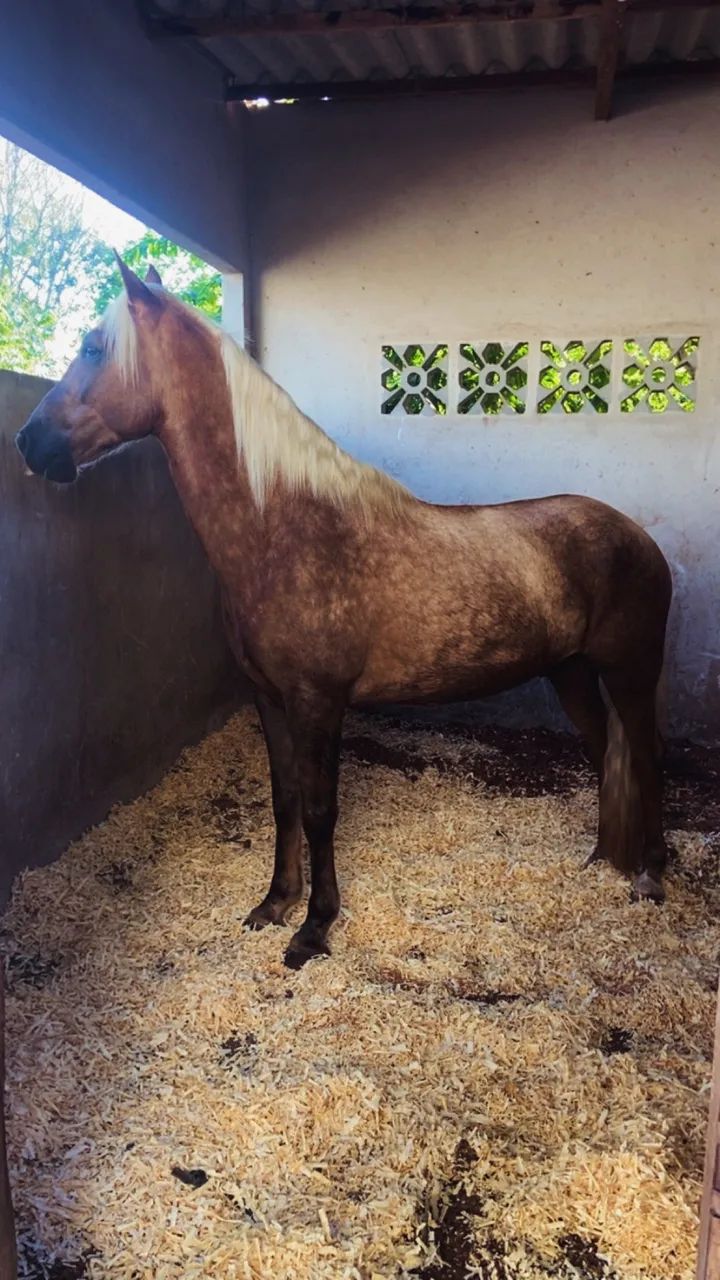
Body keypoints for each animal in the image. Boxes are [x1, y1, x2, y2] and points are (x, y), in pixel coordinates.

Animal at [15, 260, 673, 970]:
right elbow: (284, 801)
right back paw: (603, 860)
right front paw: (275, 903)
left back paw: (650, 874)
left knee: (645, 755)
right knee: (606, 750)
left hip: (632, 672)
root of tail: (638, 536)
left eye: (92, 348)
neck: (283, 528)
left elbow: (319, 810)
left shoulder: (318, 702)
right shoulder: (270, 698)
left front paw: (313, 928)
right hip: (571, 673)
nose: (28, 442)